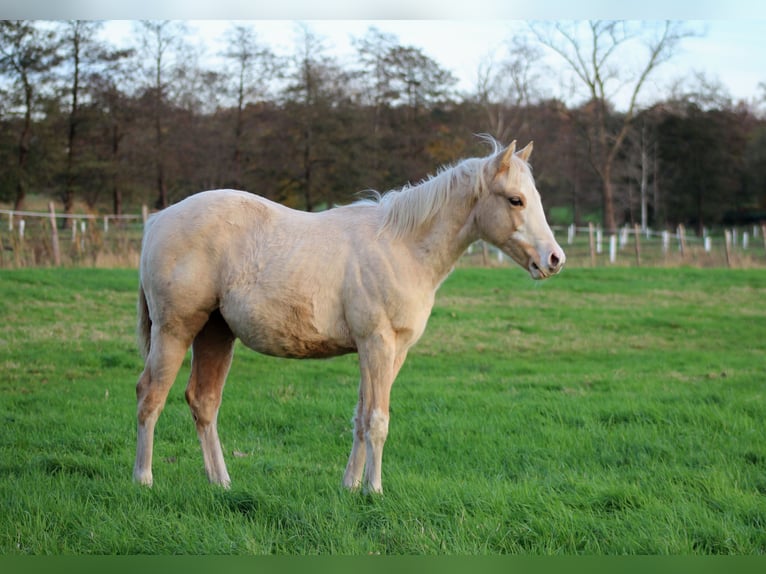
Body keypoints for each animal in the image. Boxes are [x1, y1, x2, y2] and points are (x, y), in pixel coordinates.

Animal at [132, 139, 565, 494]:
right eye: (515, 200)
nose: (554, 259)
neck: (402, 247)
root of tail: (157, 221)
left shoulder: (390, 352)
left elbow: (361, 417)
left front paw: (350, 486)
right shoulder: (377, 344)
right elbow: (377, 420)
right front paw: (374, 490)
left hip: (215, 333)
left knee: (203, 402)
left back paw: (221, 482)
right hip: (175, 331)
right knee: (150, 396)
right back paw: (144, 479)